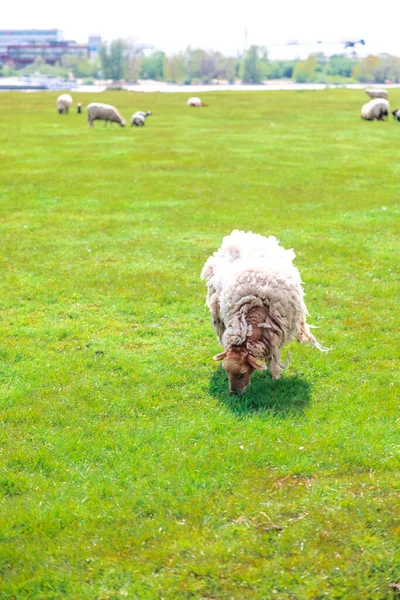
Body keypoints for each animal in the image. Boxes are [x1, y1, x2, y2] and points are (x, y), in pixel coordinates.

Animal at [200, 230, 328, 394]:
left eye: (242, 374)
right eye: (227, 372)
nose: (234, 393)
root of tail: (245, 234)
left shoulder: (274, 336)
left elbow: (273, 358)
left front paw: (274, 376)